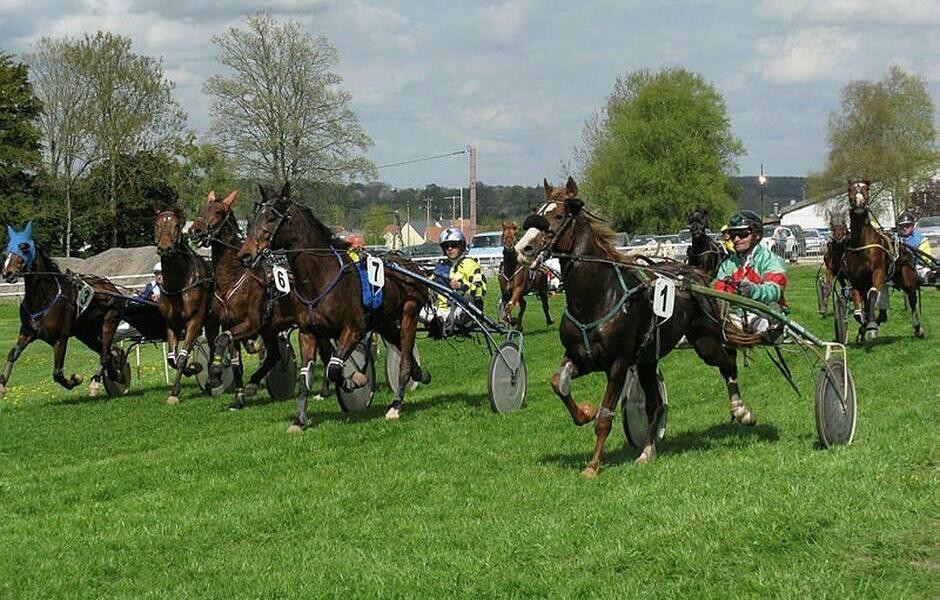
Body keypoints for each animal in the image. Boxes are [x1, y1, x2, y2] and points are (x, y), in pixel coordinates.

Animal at [0, 223, 164, 400]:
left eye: (24, 247)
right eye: (7, 249)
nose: (7, 273)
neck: (45, 296)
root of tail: (113, 289)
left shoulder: (60, 338)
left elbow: (57, 373)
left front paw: (76, 379)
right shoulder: (26, 332)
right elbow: (12, 354)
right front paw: (2, 385)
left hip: (109, 321)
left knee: (105, 354)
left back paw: (111, 378)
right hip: (86, 333)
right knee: (109, 352)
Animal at [154, 204, 217, 406]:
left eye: (176, 225)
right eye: (157, 224)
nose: (165, 247)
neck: (179, 283)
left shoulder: (195, 321)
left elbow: (182, 357)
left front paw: (175, 391)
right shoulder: (171, 325)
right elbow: (172, 359)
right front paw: (192, 369)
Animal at [239, 180, 434, 428]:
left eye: (272, 218)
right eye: (253, 218)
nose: (245, 255)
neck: (321, 277)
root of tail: (412, 265)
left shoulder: (354, 329)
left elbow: (333, 367)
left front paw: (354, 381)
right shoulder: (308, 331)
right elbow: (306, 374)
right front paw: (299, 419)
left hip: (409, 313)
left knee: (405, 359)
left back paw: (396, 405)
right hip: (384, 322)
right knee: (402, 348)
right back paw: (420, 374)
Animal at [516, 176, 756, 476]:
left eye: (559, 215)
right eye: (536, 212)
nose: (523, 248)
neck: (597, 296)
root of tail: (693, 274)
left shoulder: (618, 364)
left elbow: (605, 416)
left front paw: (593, 465)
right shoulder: (580, 356)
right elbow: (558, 383)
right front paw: (584, 412)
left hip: (705, 341)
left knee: (728, 362)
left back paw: (741, 411)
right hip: (647, 361)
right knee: (655, 403)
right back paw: (647, 450)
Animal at [840, 180, 920, 342]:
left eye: (866, 189)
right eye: (850, 189)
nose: (859, 204)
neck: (861, 244)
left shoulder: (878, 272)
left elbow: (872, 295)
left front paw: (870, 326)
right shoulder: (856, 279)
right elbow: (858, 306)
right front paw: (863, 327)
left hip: (908, 278)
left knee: (913, 299)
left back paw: (917, 327)